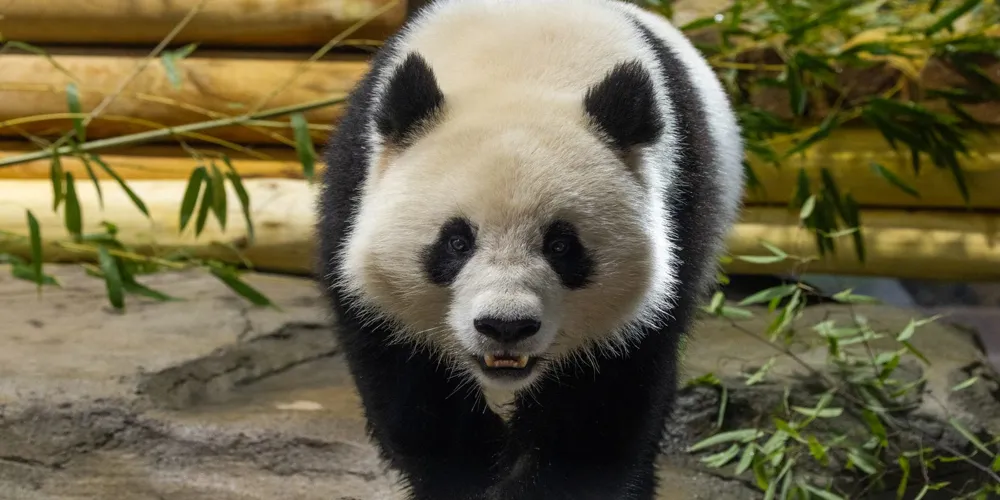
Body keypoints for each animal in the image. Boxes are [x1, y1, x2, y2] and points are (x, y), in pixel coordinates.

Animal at [316, 0, 748, 498]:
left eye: (561, 246)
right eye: (457, 242)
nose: (506, 326)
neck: (520, 66)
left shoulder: (675, 218)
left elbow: (597, 412)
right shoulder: (353, 194)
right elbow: (414, 393)